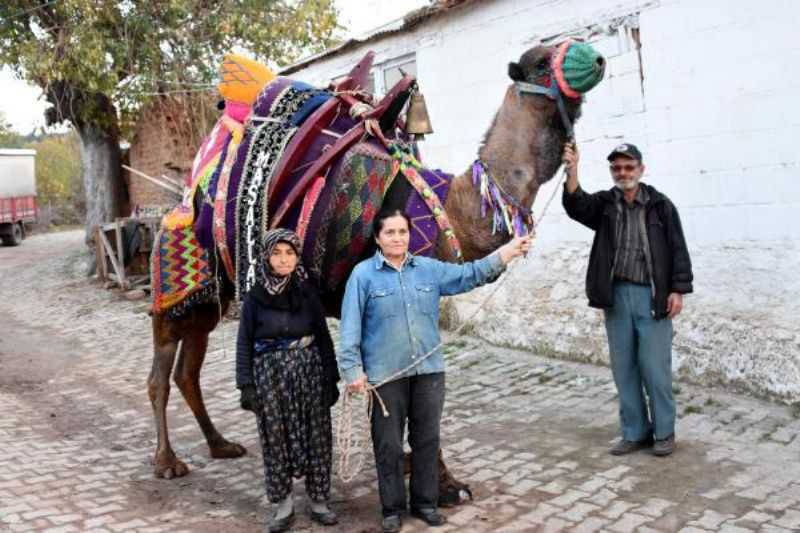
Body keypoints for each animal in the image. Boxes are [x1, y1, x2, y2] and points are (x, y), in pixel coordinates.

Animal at [147, 40, 604, 498]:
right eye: (541, 63)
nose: (596, 58)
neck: (451, 207)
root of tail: (183, 196)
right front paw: (439, 482)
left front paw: (419, 469)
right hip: (175, 286)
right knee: (161, 373)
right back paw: (167, 462)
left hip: (212, 296)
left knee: (188, 370)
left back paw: (220, 445)